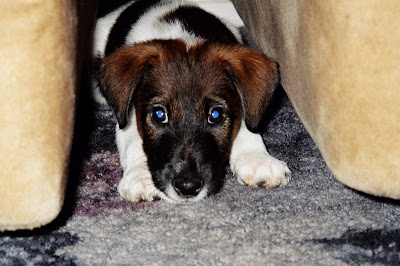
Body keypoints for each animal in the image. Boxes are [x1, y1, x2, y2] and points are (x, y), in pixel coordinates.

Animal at [90, 0, 290, 202]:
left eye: (215, 115)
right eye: (159, 114)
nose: (187, 187)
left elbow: (244, 120)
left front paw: (257, 158)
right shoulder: (129, 112)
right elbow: (132, 138)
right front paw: (140, 175)